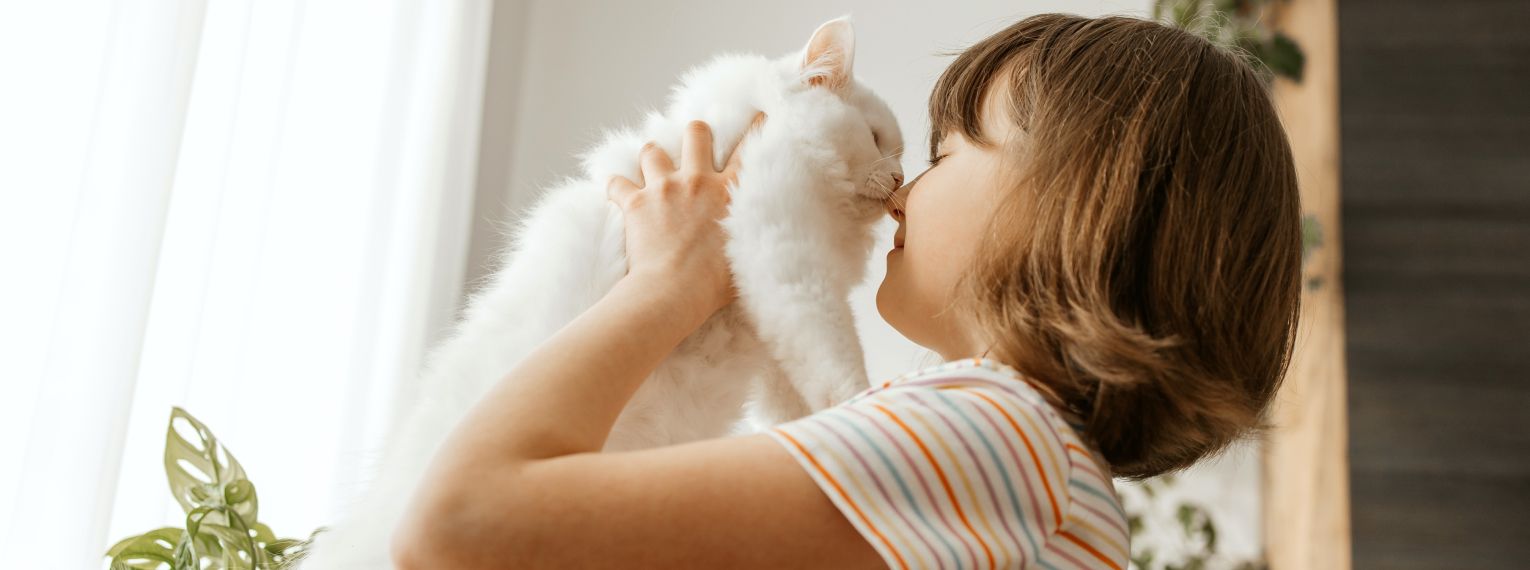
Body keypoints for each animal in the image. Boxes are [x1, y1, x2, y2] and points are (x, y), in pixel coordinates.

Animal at [298, 15, 893, 565]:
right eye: (880, 140)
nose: (900, 178)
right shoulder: (778, 233)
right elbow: (828, 345)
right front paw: (861, 403)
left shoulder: (764, 326)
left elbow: (791, 394)